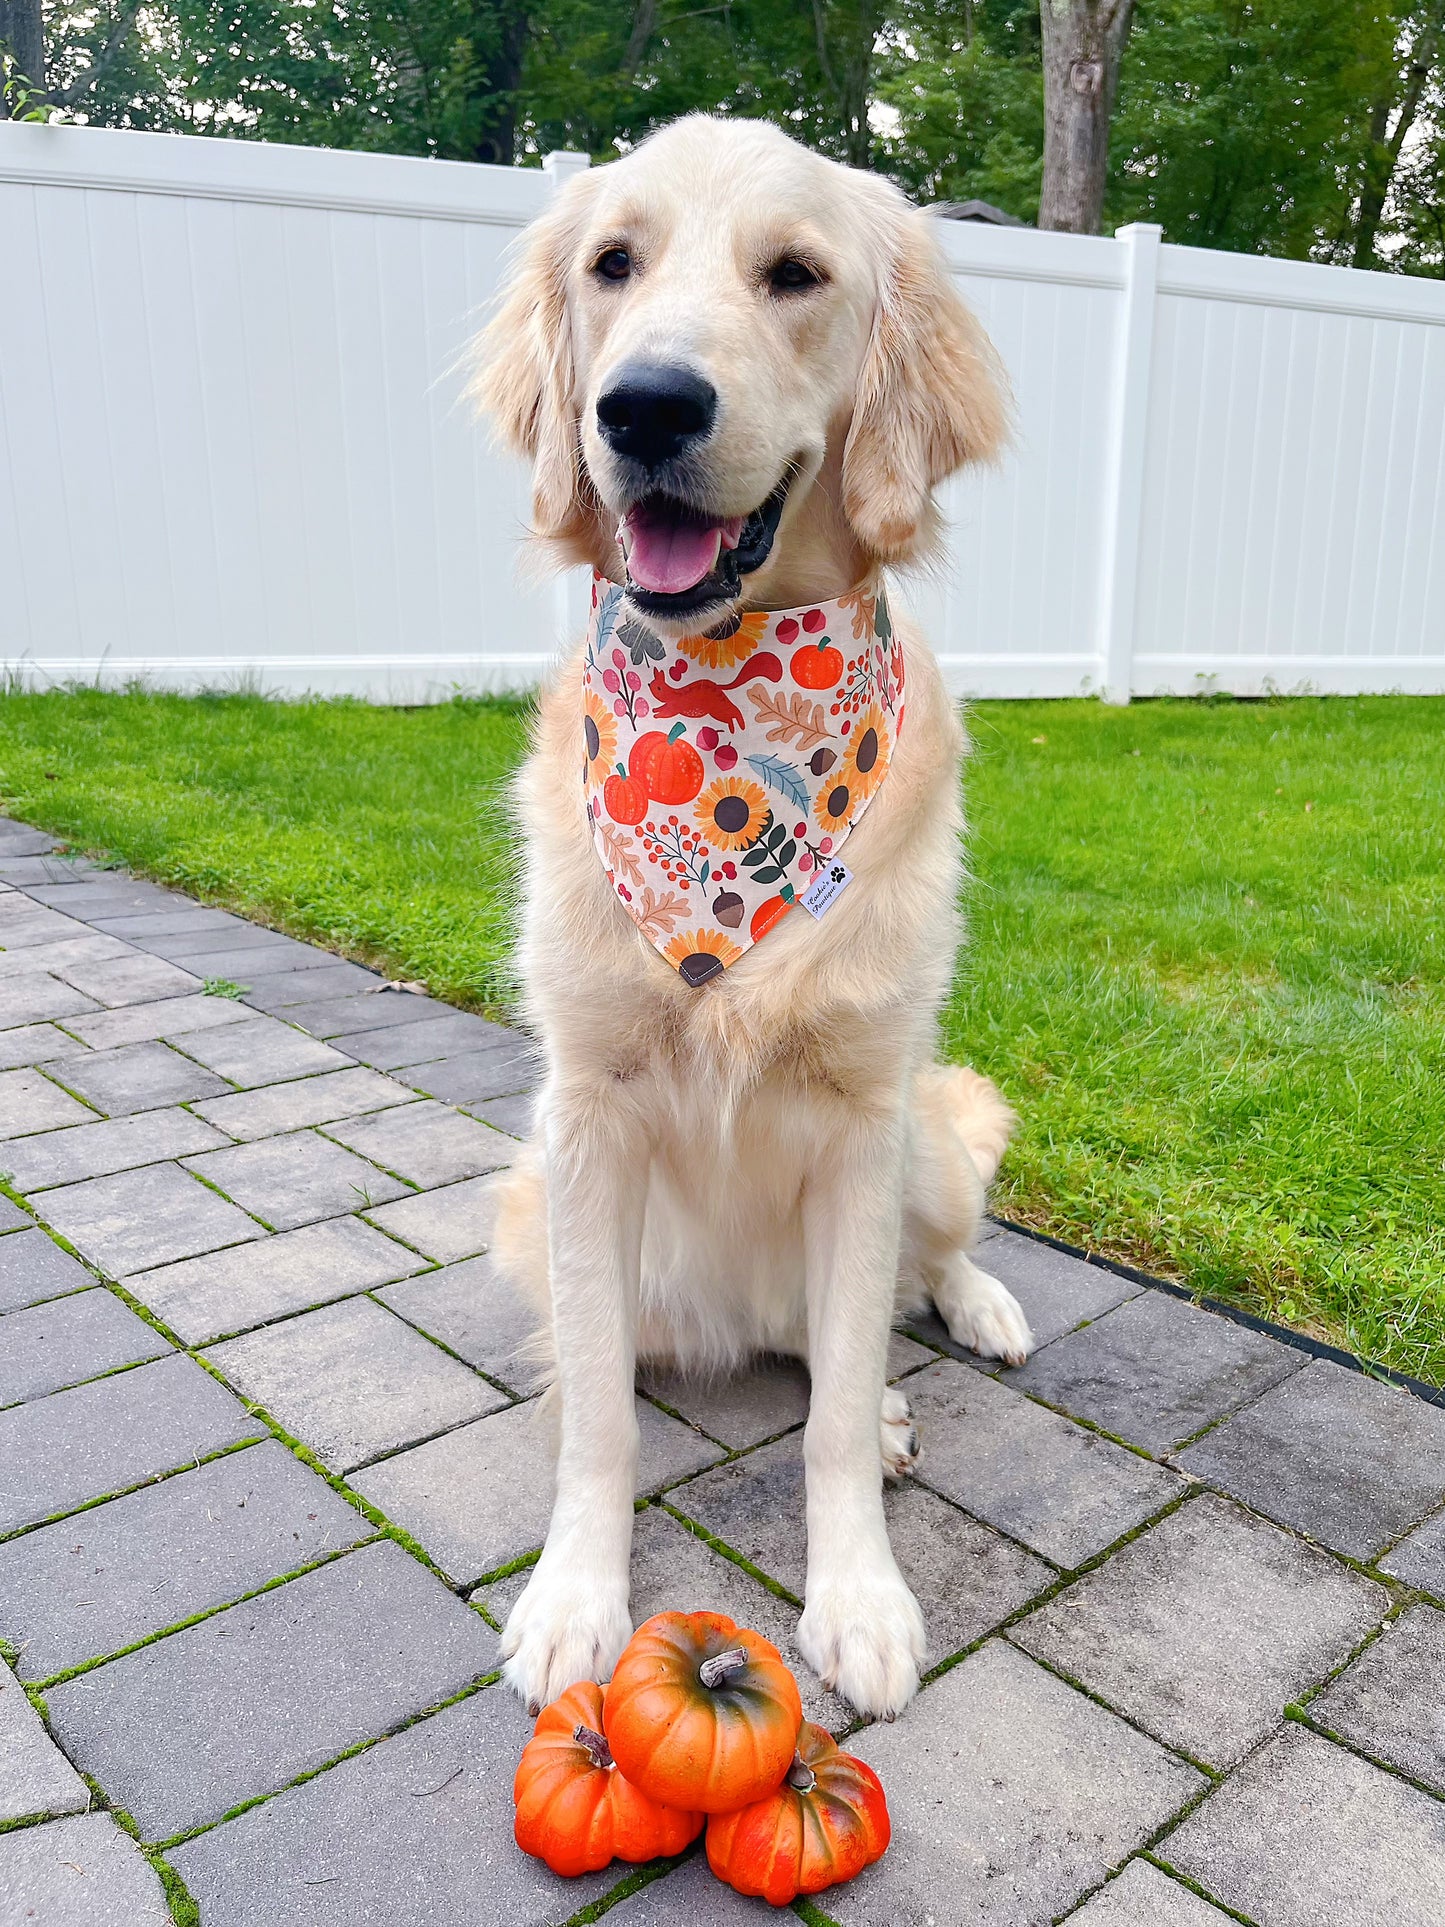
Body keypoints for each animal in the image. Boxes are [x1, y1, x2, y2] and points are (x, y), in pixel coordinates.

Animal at [481, 112, 1032, 1726]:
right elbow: (597, 1415)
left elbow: (834, 1413)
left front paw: (856, 1598)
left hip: (928, 1139)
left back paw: (974, 1315)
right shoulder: (582, 1121)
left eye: (794, 273)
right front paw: (574, 1597)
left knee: (905, 1285)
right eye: (612, 263)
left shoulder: (860, 1119)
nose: (645, 407)